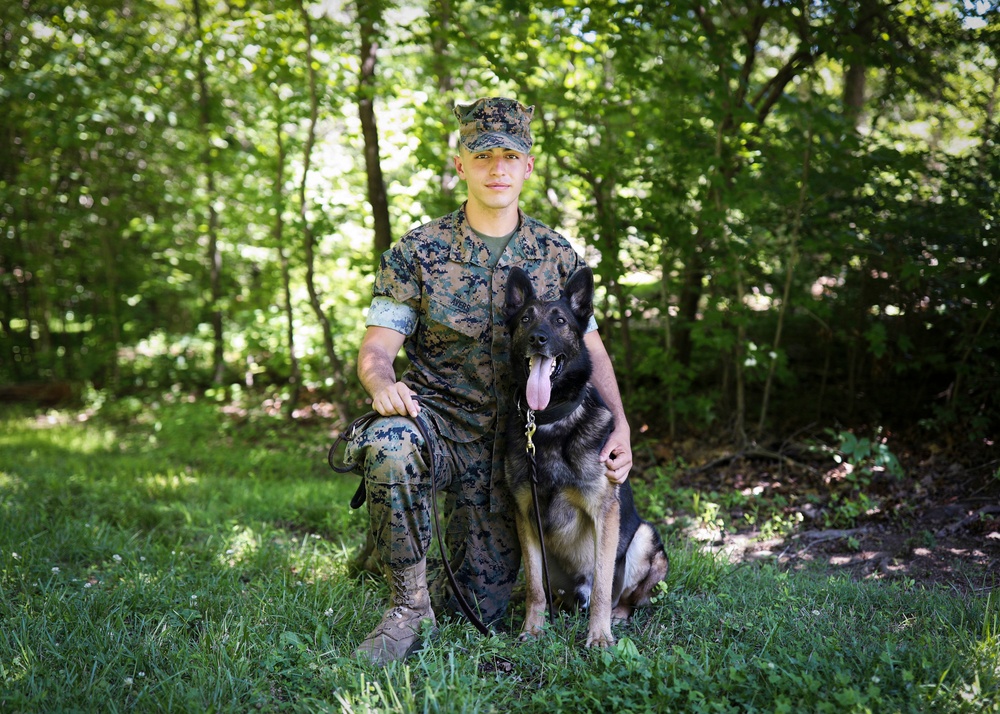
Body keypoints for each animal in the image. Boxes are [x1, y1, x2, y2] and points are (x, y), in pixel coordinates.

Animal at [504, 266, 668, 644]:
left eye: (560, 320)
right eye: (525, 319)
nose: (538, 338)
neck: (549, 420)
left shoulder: (603, 514)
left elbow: (605, 587)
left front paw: (600, 637)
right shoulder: (525, 514)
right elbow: (534, 586)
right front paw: (532, 629)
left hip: (645, 539)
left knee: (627, 597)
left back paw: (617, 617)